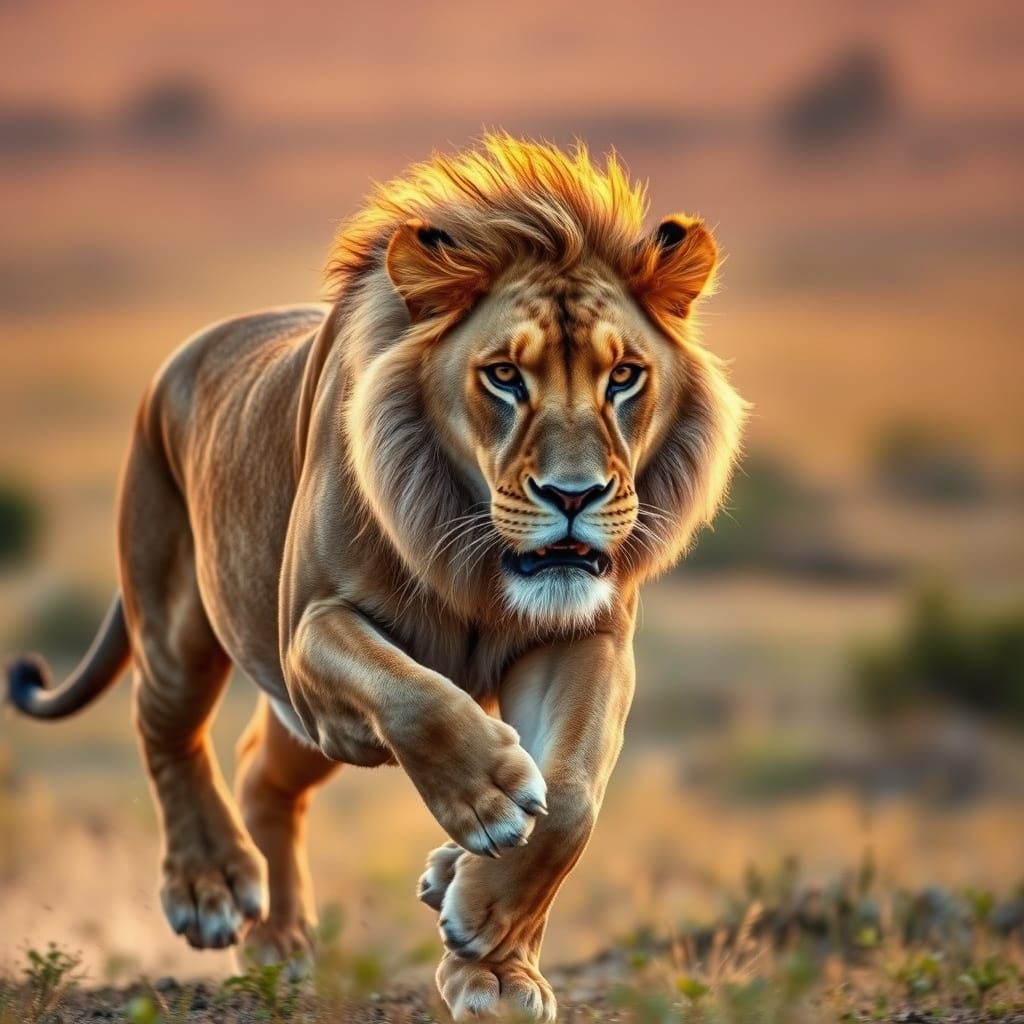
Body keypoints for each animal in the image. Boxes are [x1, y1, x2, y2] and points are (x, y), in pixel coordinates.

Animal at [7, 135, 745, 1021]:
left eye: (625, 375)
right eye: (505, 376)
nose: (573, 496)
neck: (476, 558)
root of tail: (184, 359)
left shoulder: (583, 636)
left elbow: (570, 798)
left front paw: (488, 951)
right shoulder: (311, 632)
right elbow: (416, 697)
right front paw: (490, 800)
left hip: (307, 730)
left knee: (261, 768)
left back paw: (281, 941)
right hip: (186, 623)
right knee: (164, 722)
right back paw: (211, 886)